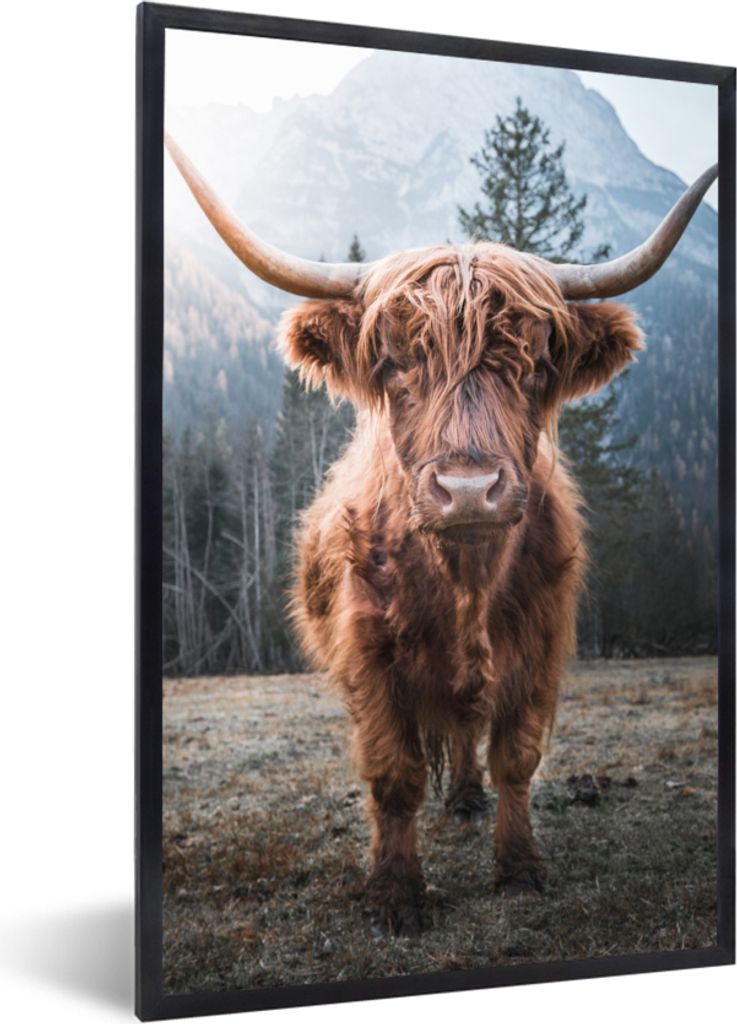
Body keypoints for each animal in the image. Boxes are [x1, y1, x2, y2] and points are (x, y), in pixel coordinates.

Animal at [166, 134, 717, 937]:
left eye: (534, 363)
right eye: (396, 362)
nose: (467, 490)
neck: (464, 580)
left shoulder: (541, 645)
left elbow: (516, 756)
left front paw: (518, 869)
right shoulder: (369, 657)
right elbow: (392, 775)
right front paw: (395, 896)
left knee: (466, 729)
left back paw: (464, 798)